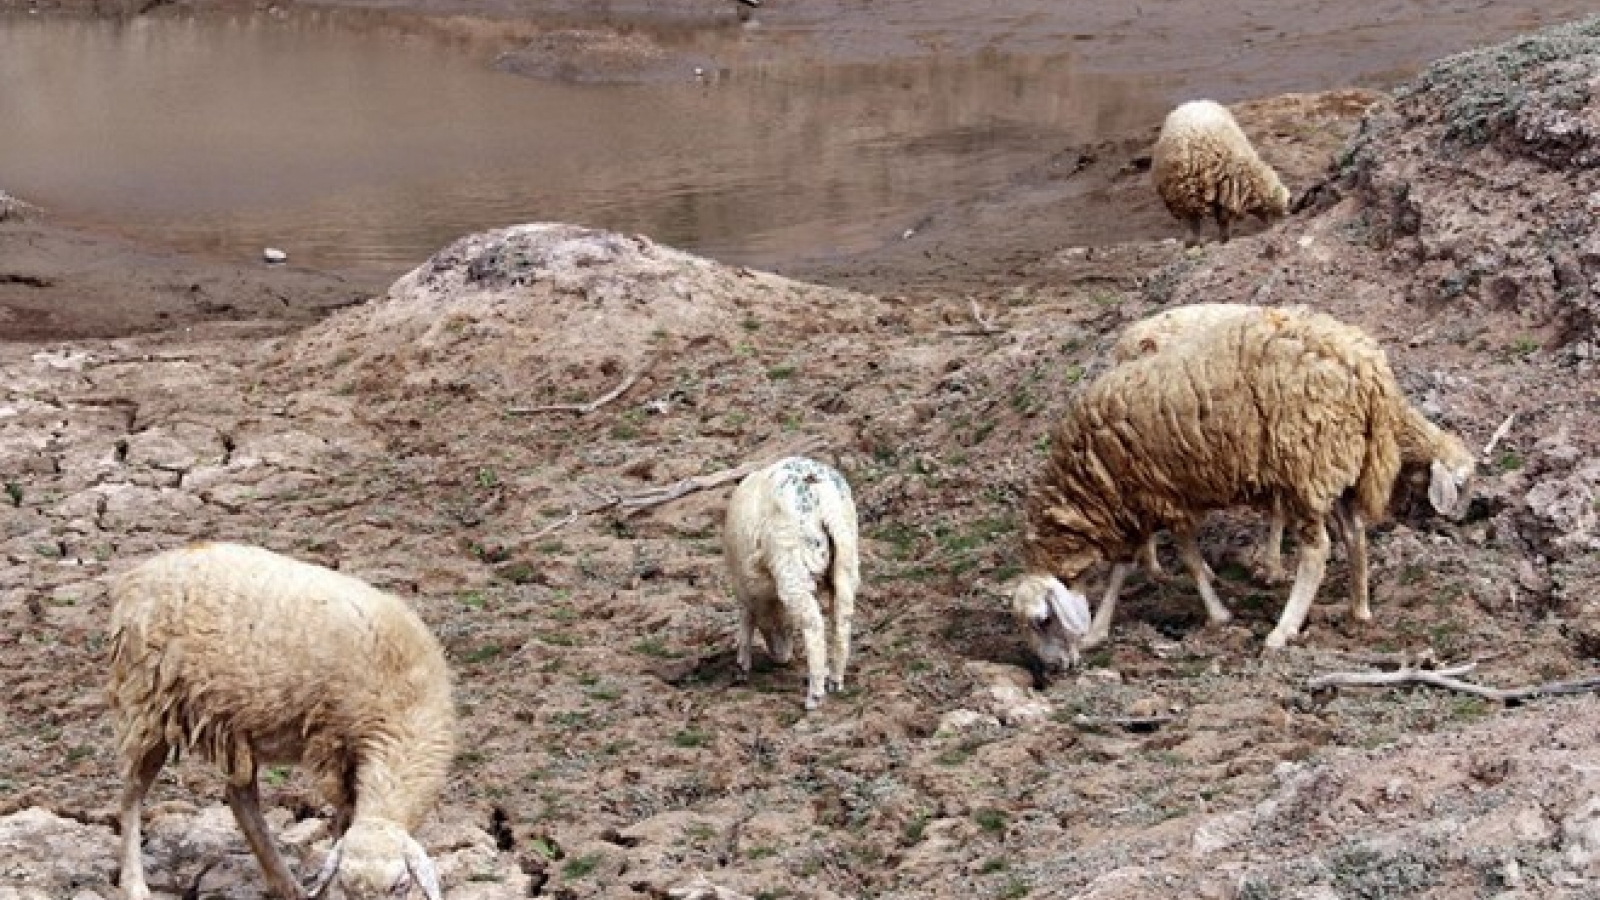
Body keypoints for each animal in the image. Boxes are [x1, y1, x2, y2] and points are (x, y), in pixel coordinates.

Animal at [107, 542, 455, 900]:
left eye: (401, 886)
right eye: (346, 886)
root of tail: (139, 574)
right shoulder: (336, 746)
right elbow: (342, 821)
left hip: (235, 723)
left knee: (239, 796)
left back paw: (284, 884)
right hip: (148, 699)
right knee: (132, 792)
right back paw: (134, 883)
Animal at [723, 456, 860, 710]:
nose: (782, 658)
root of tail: (820, 489)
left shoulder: (743, 587)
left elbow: (746, 621)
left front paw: (741, 667)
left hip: (791, 560)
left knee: (814, 625)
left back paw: (814, 695)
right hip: (847, 555)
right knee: (842, 618)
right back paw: (835, 679)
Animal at [1011, 306, 1409, 670]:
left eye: (1043, 620)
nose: (1054, 668)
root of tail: (1365, 365)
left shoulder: (1160, 497)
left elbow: (1188, 561)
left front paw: (1218, 614)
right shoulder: (1135, 504)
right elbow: (1121, 571)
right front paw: (1097, 631)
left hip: (1306, 461)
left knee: (1316, 551)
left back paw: (1282, 630)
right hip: (1338, 461)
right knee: (1355, 532)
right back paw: (1359, 609)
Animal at [1151, 100, 1290, 246]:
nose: (1276, 231)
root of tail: (1195, 101)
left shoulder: (1224, 194)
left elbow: (1221, 223)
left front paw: (1221, 240)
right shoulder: (1186, 200)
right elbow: (1197, 226)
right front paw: (1196, 242)